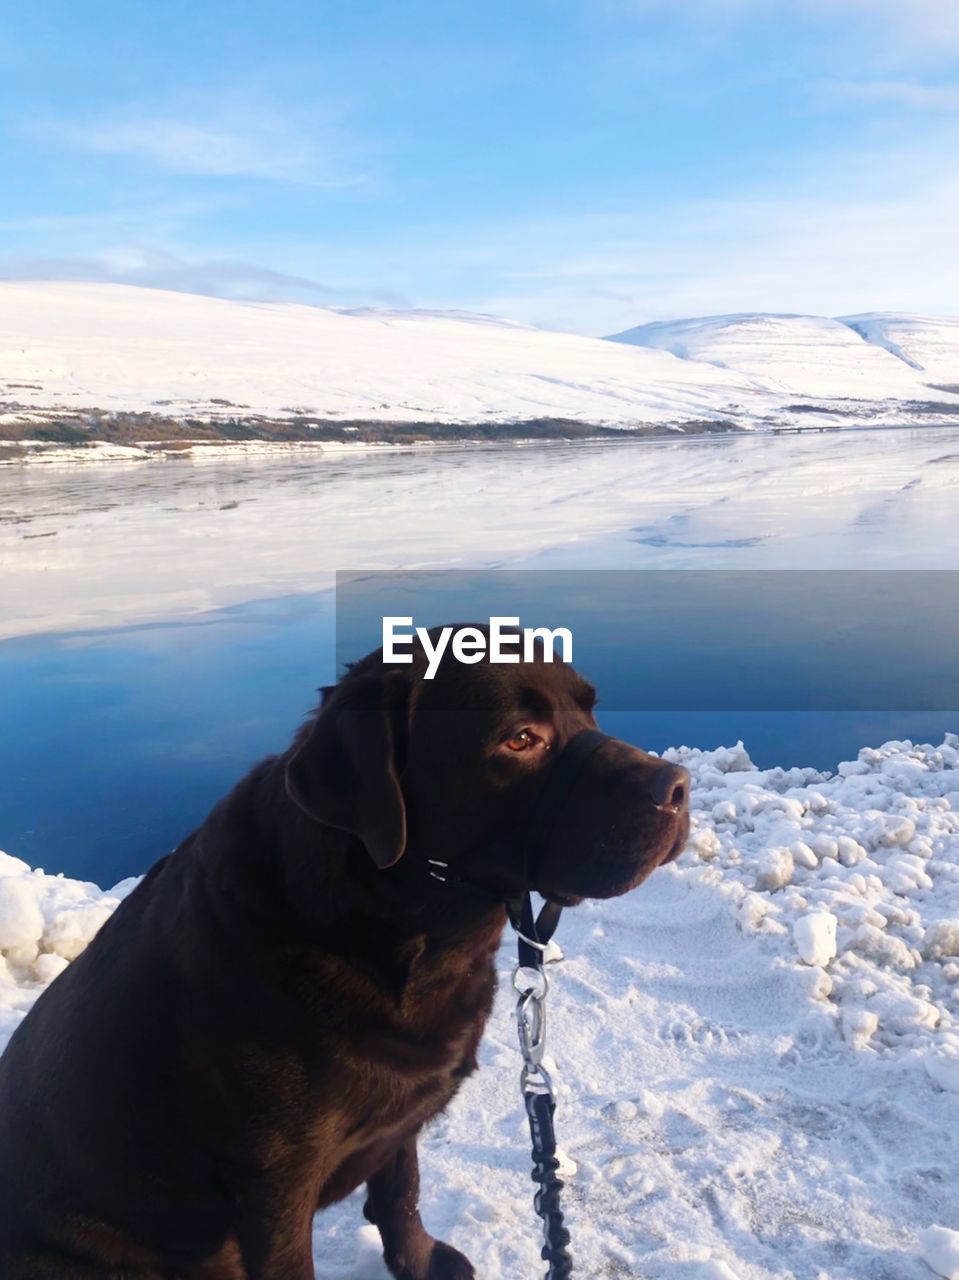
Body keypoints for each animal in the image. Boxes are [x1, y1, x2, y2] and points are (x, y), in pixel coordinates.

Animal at [0, 632, 686, 1280]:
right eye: (521, 739)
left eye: (589, 710)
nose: (676, 786)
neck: (402, 936)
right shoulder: (275, 1180)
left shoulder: (397, 1118)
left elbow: (401, 1193)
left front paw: (418, 1262)